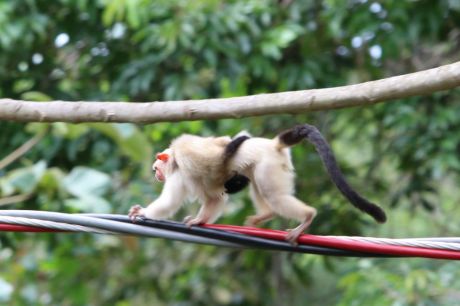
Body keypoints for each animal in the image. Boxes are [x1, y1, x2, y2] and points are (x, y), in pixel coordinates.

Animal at [128, 123, 384, 243]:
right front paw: (201, 220)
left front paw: (144, 212)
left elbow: (185, 198)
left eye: (155, 169)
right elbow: (215, 197)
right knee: (256, 183)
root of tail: (274, 144)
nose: (155, 175)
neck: (175, 161)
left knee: (272, 193)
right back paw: (265, 214)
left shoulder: (185, 161)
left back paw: (307, 217)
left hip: (270, 165)